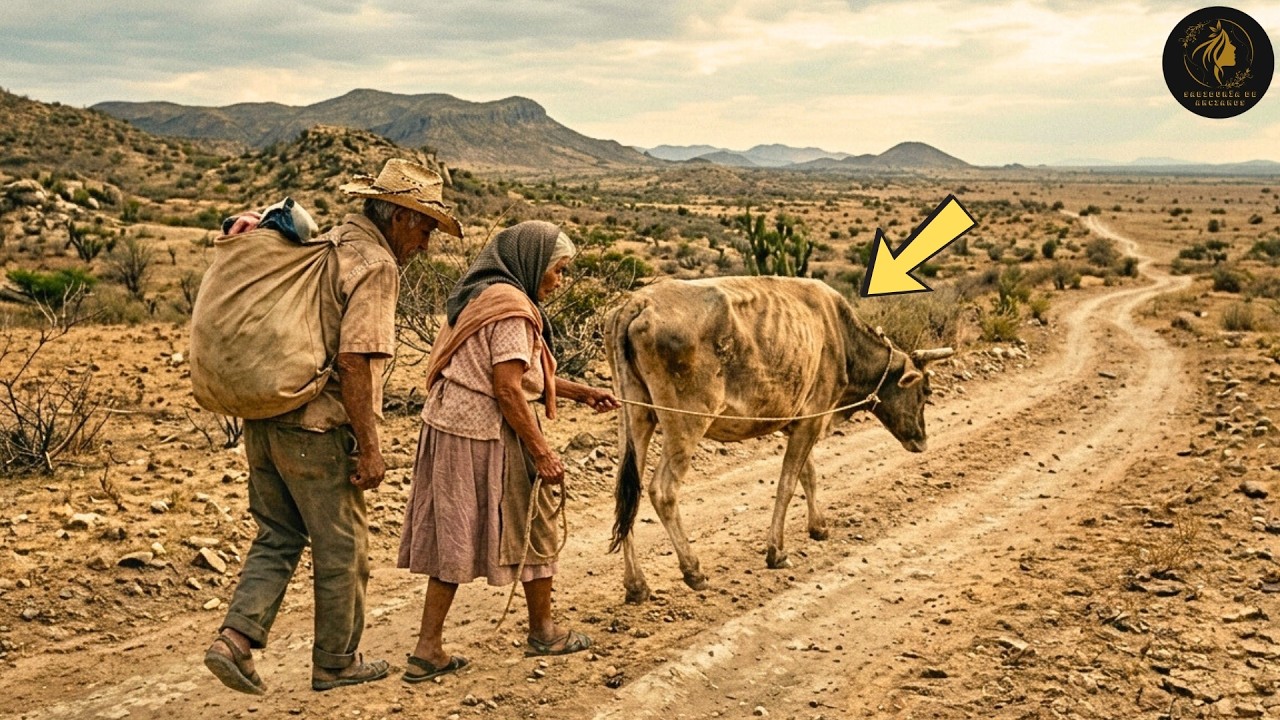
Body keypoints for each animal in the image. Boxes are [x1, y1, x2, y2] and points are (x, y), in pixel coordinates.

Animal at [606, 276, 952, 603]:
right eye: (925, 391)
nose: (921, 440)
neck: (841, 337)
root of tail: (638, 302)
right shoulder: (813, 417)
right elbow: (788, 484)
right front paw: (777, 552)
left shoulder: (800, 421)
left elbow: (808, 475)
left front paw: (819, 527)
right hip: (686, 422)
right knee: (662, 491)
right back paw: (693, 571)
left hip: (634, 416)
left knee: (627, 493)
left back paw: (636, 585)